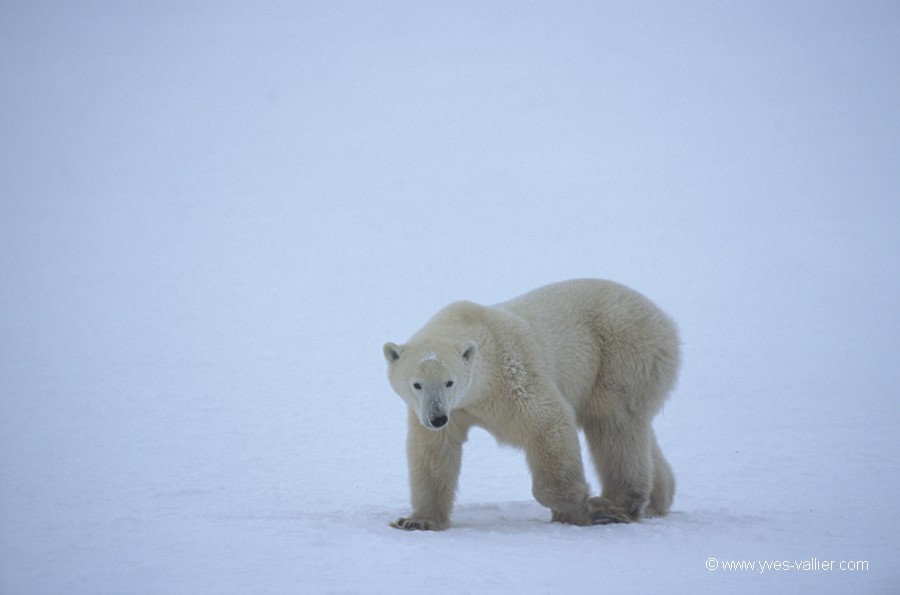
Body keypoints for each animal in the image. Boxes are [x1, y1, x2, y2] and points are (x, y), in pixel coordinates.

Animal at [382, 280, 684, 532]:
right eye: (417, 384)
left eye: (449, 382)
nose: (436, 418)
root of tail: (664, 319)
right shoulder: (452, 410)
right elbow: (434, 453)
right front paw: (416, 520)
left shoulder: (513, 374)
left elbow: (548, 422)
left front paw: (577, 510)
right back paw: (656, 500)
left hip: (621, 353)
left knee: (614, 423)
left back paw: (613, 506)